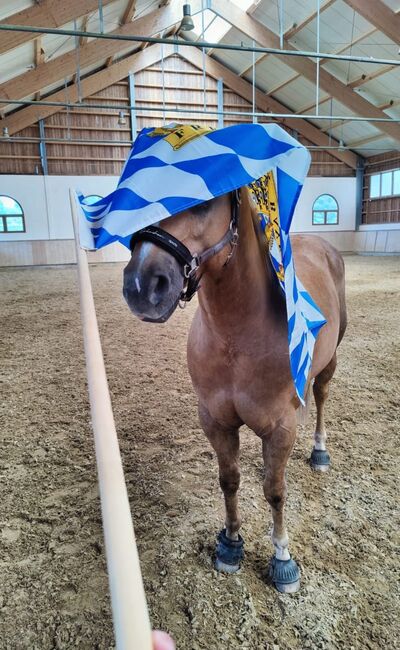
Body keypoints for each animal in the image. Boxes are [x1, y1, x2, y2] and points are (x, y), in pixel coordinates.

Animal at [122, 185, 346, 588]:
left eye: (204, 199)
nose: (140, 285)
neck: (236, 337)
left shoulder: (281, 426)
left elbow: (276, 492)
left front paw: (282, 558)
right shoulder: (216, 421)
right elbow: (229, 480)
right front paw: (230, 542)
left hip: (330, 360)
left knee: (321, 397)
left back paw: (320, 451)